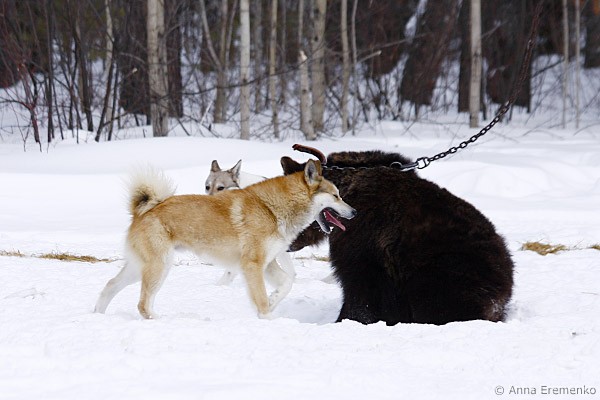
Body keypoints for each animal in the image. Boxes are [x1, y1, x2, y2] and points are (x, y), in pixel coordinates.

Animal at [94, 160, 356, 319]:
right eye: (336, 196)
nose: (354, 212)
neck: (270, 209)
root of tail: (144, 210)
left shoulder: (267, 263)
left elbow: (286, 284)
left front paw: (273, 302)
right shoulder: (252, 265)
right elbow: (262, 299)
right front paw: (268, 317)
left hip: (139, 268)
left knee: (109, 286)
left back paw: (97, 314)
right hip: (160, 267)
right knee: (143, 304)